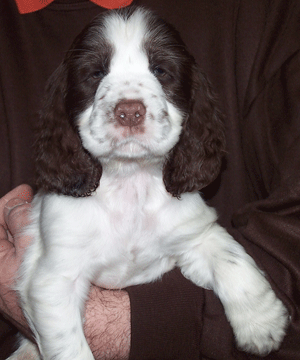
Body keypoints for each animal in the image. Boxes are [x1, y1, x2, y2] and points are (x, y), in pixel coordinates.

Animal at [10, 6, 290, 360]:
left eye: (160, 70)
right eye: (95, 74)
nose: (129, 112)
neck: (131, 182)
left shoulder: (193, 236)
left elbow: (233, 260)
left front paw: (262, 324)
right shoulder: (53, 279)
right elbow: (68, 345)